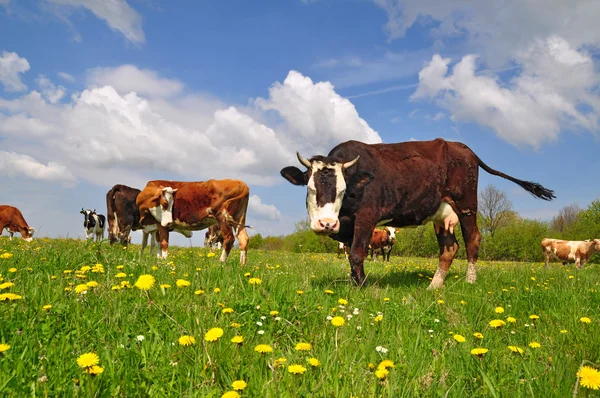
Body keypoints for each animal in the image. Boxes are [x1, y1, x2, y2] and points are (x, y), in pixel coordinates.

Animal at [280, 138, 552, 288]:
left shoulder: (367, 217)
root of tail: (462, 148)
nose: (326, 224)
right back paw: (434, 286)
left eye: (342, 190)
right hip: (442, 214)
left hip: (467, 205)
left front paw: (360, 288)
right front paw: (355, 282)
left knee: (473, 239)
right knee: (449, 248)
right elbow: (352, 255)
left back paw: (470, 280)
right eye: (310, 187)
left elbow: (357, 254)